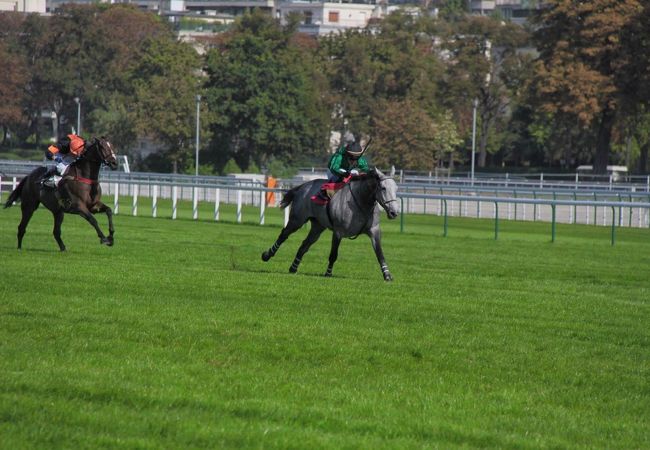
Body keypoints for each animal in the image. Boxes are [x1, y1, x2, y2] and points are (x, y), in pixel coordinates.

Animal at [260, 168, 398, 282]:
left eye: (396, 189)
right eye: (383, 188)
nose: (394, 212)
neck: (360, 202)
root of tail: (303, 186)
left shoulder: (374, 231)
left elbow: (380, 254)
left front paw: (387, 275)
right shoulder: (338, 232)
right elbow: (333, 255)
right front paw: (328, 273)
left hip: (318, 227)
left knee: (304, 245)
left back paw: (293, 268)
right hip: (297, 220)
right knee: (283, 235)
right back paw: (267, 255)